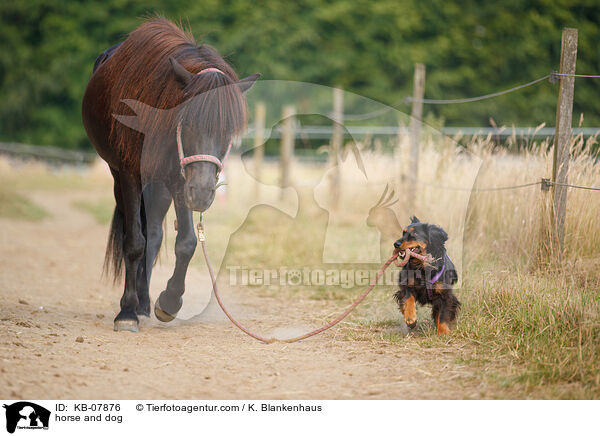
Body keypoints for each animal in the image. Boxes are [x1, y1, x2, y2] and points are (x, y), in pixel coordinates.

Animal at [81, 17, 258, 330]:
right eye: (187, 122)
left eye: (228, 131)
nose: (203, 193)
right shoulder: (130, 173)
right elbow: (134, 242)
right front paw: (126, 313)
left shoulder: (179, 178)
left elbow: (186, 242)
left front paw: (169, 301)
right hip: (123, 178)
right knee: (138, 234)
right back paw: (135, 306)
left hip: (161, 184)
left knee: (154, 233)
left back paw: (144, 303)